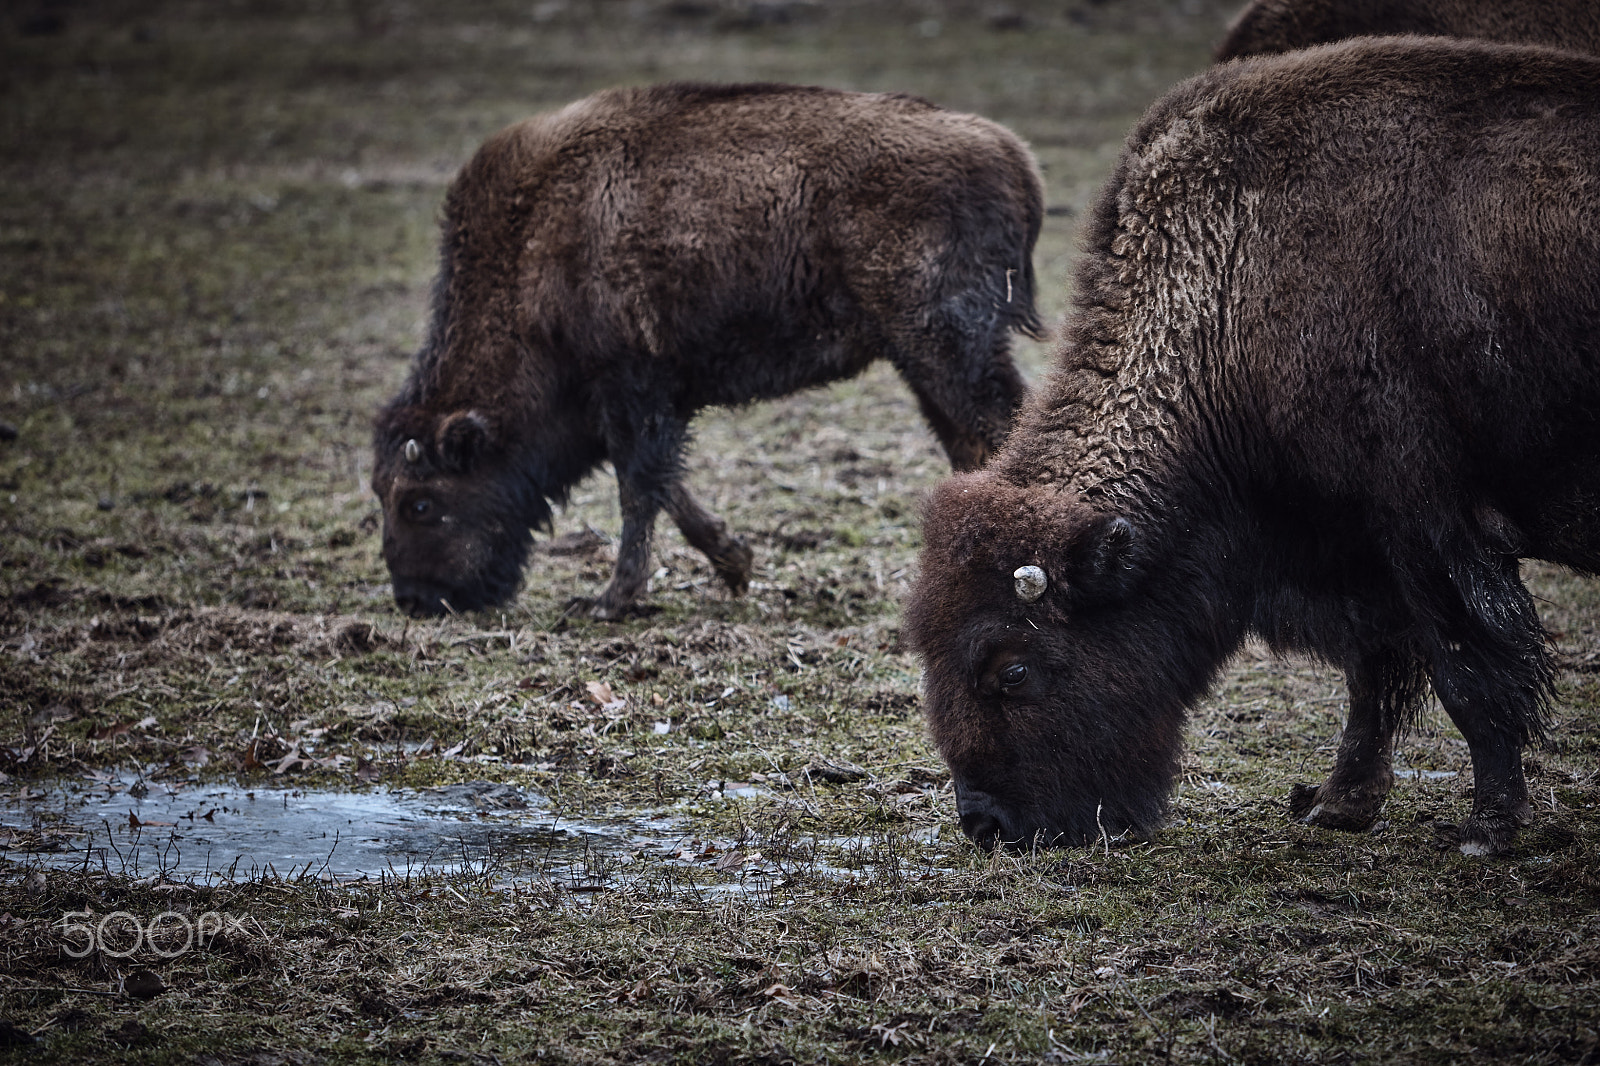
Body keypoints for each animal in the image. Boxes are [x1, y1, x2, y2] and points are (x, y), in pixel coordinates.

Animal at [369, 83, 1043, 617]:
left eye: (419, 502)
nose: (417, 601)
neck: (531, 242)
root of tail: (1012, 156)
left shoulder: (630, 387)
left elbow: (640, 487)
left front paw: (611, 601)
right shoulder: (633, 403)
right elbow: (663, 484)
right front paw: (736, 563)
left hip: (946, 349)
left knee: (1002, 428)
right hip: (925, 361)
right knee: (974, 446)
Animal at [908, 37, 1600, 857]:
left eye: (1011, 671)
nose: (988, 825)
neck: (1231, 277)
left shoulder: (1428, 529)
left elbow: (1467, 677)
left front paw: (1487, 829)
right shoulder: (1362, 553)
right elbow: (1376, 673)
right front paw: (1337, 805)